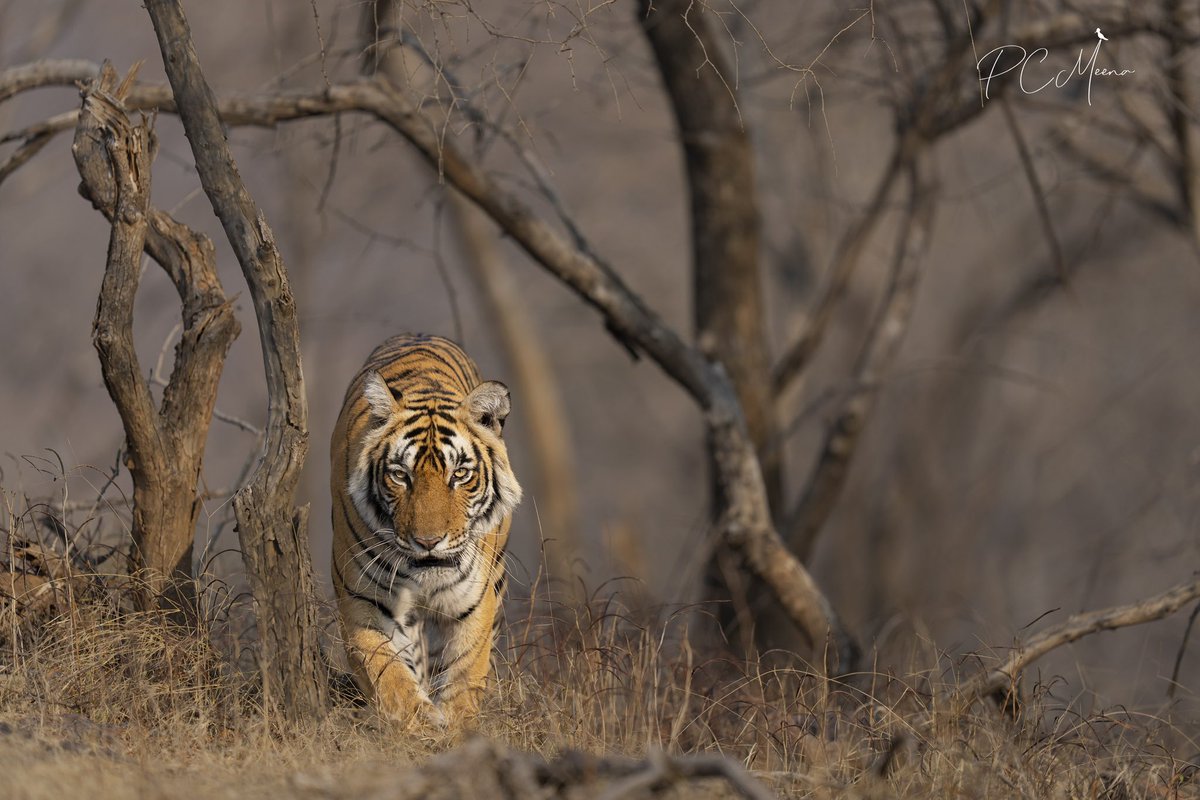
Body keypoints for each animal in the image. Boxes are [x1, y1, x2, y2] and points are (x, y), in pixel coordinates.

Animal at [330, 333, 521, 726]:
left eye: (459, 474)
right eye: (400, 475)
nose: (428, 542)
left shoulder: (475, 604)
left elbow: (465, 676)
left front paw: (457, 729)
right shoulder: (361, 601)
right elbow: (390, 679)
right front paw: (422, 726)